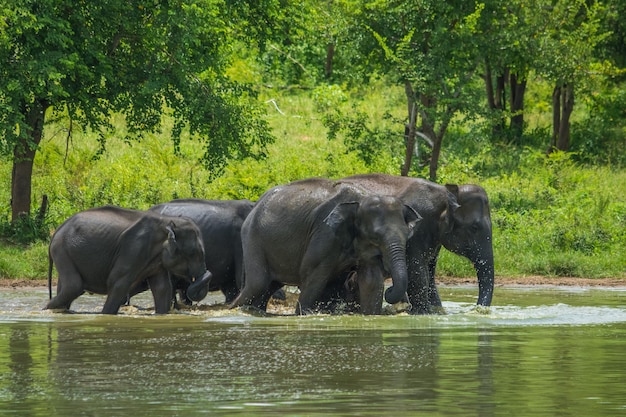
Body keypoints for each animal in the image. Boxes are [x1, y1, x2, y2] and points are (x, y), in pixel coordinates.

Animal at [45, 205, 212, 312]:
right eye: (195, 253)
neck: (166, 221)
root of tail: (56, 231)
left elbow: (162, 288)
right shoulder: (133, 249)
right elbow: (118, 284)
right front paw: (106, 315)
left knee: (66, 288)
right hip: (62, 250)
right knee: (74, 286)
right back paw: (46, 310)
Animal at [229, 176, 420, 316]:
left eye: (408, 235)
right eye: (375, 236)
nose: (391, 291)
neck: (361, 199)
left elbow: (371, 280)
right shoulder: (324, 233)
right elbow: (314, 275)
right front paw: (302, 314)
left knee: (267, 287)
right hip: (253, 239)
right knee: (258, 284)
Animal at [336, 174, 492, 314]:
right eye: (474, 228)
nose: (479, 310)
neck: (442, 192)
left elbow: (430, 276)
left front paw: (436, 311)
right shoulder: (415, 232)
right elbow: (417, 273)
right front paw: (423, 313)